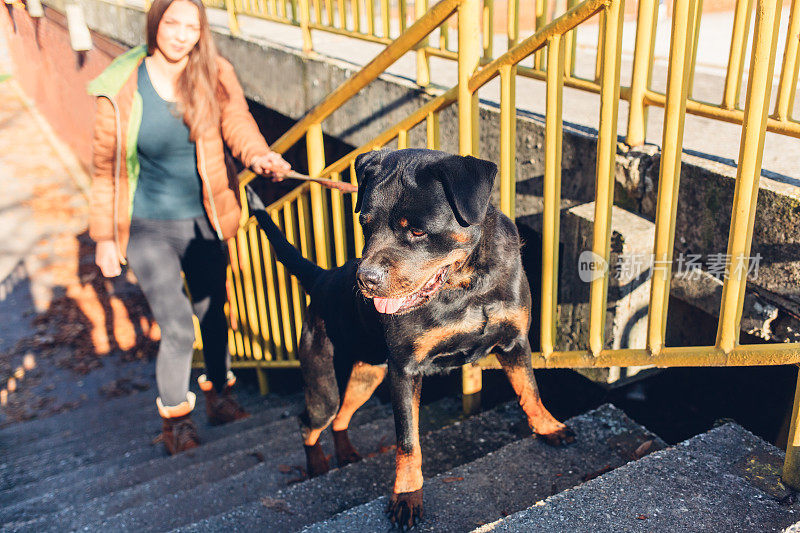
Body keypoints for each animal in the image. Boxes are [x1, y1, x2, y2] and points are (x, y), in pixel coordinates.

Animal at [247, 148, 572, 524]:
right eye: (365, 224)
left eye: (417, 231)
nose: (366, 279)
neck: (465, 287)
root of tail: (323, 277)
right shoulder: (404, 369)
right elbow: (408, 442)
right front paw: (407, 496)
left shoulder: (514, 341)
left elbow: (530, 390)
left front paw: (549, 427)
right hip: (323, 381)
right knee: (310, 422)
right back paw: (318, 467)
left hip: (368, 374)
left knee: (342, 415)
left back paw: (346, 454)